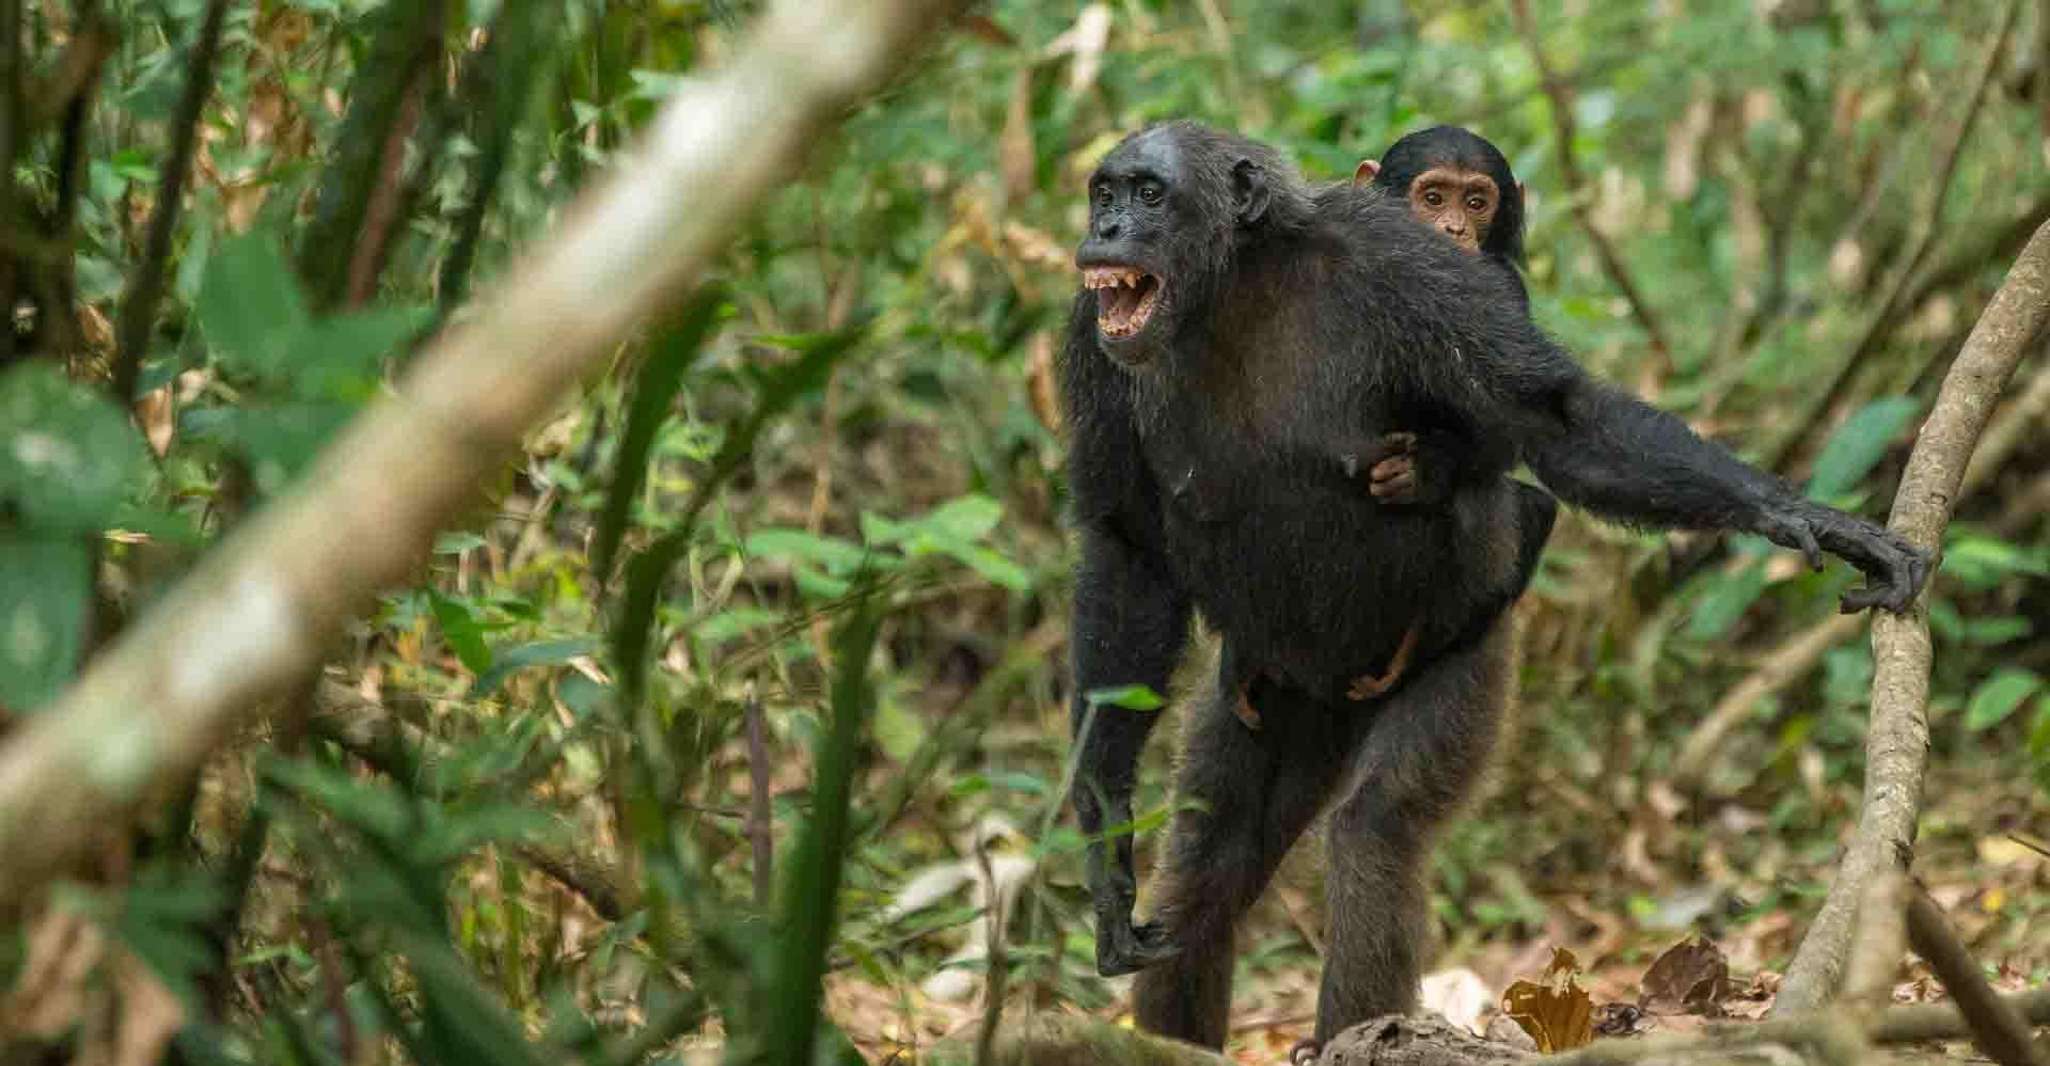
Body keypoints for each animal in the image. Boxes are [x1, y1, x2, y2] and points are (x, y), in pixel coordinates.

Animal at [1066, 120, 1927, 1049]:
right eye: (1106, 191)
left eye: (1150, 195)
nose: (1108, 228)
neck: (1233, 287)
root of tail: (1335, 694)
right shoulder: (1092, 339)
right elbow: (1126, 552)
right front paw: (1104, 857)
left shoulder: (1413, 275)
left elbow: (1557, 419)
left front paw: (1799, 512)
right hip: (1267, 698)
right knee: (1210, 863)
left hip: (1459, 653)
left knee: (1377, 831)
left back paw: (1362, 1032)